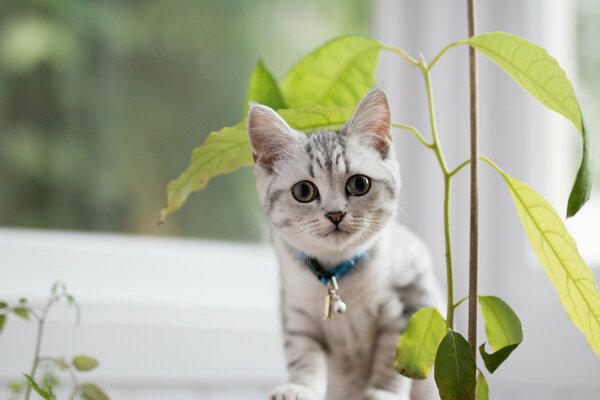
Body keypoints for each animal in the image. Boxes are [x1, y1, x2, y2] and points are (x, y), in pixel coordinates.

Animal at [247, 88, 440, 400]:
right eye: (304, 191)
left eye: (359, 184)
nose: (335, 214)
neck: (338, 273)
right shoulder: (298, 316)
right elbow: (303, 357)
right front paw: (300, 388)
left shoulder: (409, 300)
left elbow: (394, 361)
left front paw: (383, 393)